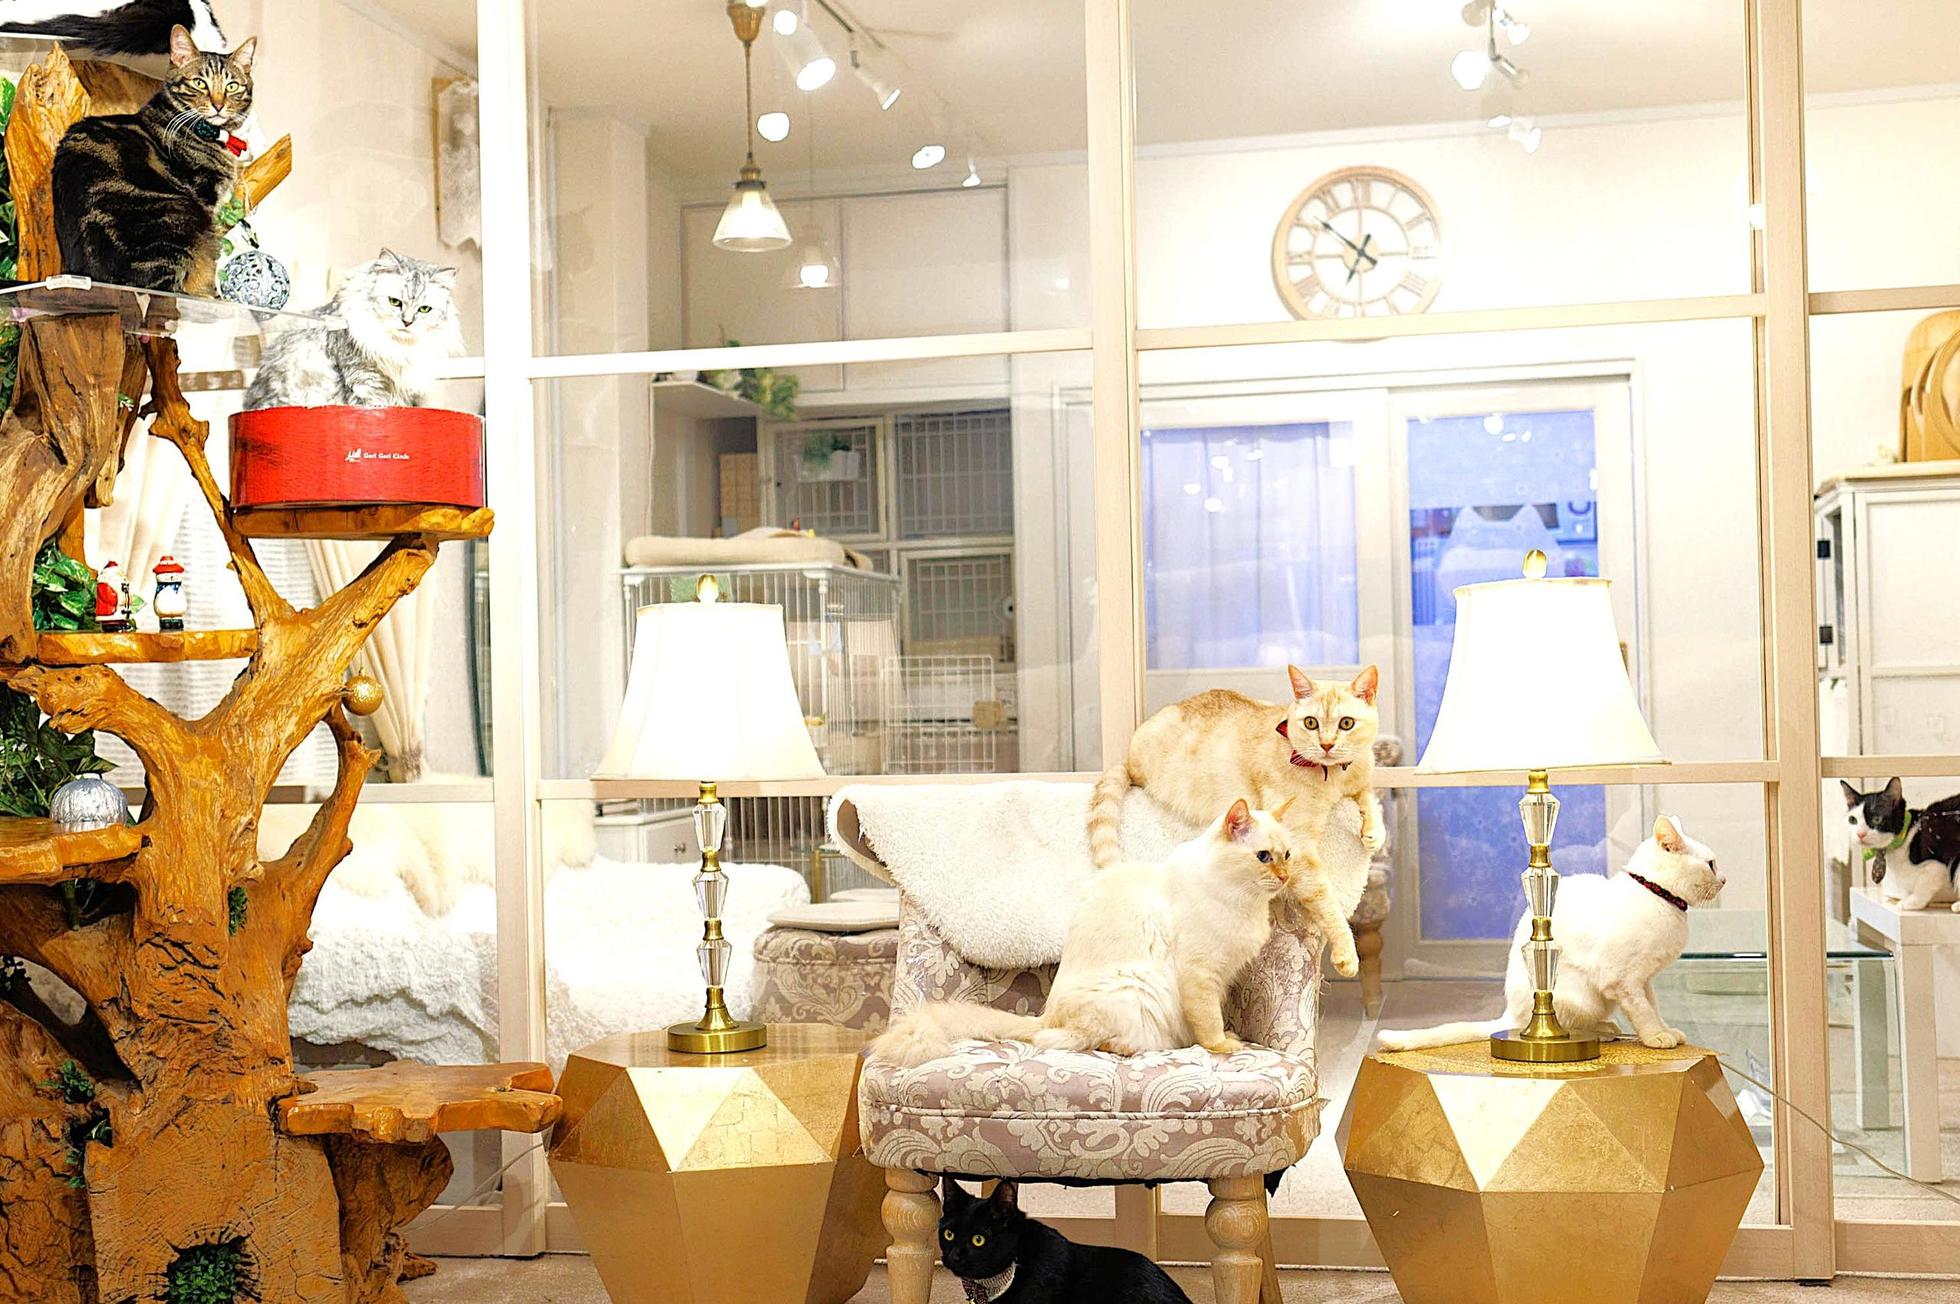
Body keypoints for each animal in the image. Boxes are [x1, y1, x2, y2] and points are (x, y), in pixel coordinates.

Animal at [51, 24, 253, 292]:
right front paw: (209, 290)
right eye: (200, 83)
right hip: (177, 222)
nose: (218, 105)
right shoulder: (206, 197)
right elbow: (209, 264)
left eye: (232, 86)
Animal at [870, 798, 1294, 1068]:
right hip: (1132, 987)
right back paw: (1122, 1046)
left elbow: (1210, 1017)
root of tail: (1045, 1015)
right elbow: (1208, 1021)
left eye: (1287, 855)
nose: (1286, 877)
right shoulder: (1201, 975)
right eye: (1263, 857)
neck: (1239, 900)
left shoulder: (1222, 977)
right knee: (1064, 1041)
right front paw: (1222, 1045)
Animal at [1086, 664, 1384, 977]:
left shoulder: (1360, 778)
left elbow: (1367, 793)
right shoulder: (1300, 846)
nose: (1326, 744)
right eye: (1311, 723)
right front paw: (1346, 951)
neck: (1333, 778)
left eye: (1347, 723)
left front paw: (1374, 831)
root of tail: (1128, 758)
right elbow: (1326, 899)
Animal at [1377, 816, 1724, 1052]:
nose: (1724, 879)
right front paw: (1655, 1036)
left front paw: (1665, 1029)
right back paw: (1603, 1030)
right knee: (1570, 1026)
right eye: (1711, 864)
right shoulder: (1622, 980)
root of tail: (1509, 1014)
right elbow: (1642, 1012)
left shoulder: (1643, 980)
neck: (1657, 895)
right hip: (1578, 996)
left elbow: (1653, 1007)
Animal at [1843, 778, 1960, 912]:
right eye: (1852, 820)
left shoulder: (1938, 862)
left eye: (1877, 819)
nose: (1860, 834)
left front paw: (1910, 902)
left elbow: (1925, 881)